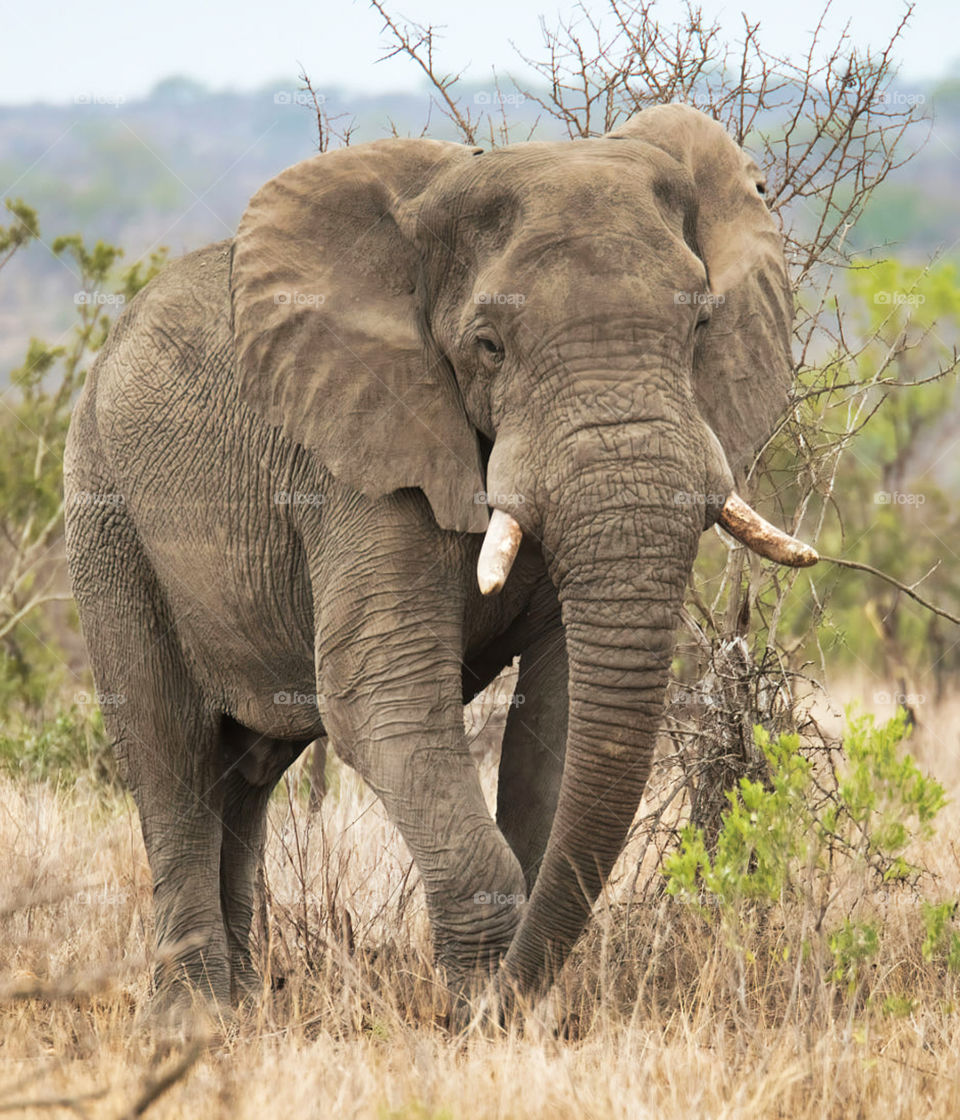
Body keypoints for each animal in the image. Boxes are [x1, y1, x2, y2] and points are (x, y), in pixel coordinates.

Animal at [63, 103, 815, 1016]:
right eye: (488, 345)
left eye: (700, 324)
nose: (513, 1003)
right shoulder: (363, 460)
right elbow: (379, 689)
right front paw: (479, 1010)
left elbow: (563, 702)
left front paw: (521, 1011)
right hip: (106, 508)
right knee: (166, 745)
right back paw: (194, 1018)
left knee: (246, 770)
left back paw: (247, 1005)